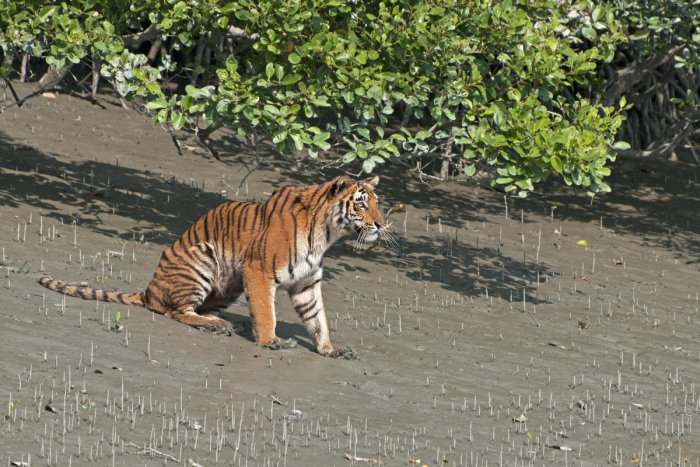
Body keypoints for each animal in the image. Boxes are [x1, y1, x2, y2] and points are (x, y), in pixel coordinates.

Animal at [38, 176, 392, 358]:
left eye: (377, 202)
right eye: (361, 202)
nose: (379, 224)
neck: (327, 234)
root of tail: (148, 290)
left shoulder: (306, 283)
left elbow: (318, 320)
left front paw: (330, 349)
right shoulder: (259, 271)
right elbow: (267, 313)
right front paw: (271, 341)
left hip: (228, 287)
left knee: (197, 309)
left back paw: (221, 322)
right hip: (203, 262)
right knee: (175, 312)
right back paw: (217, 326)